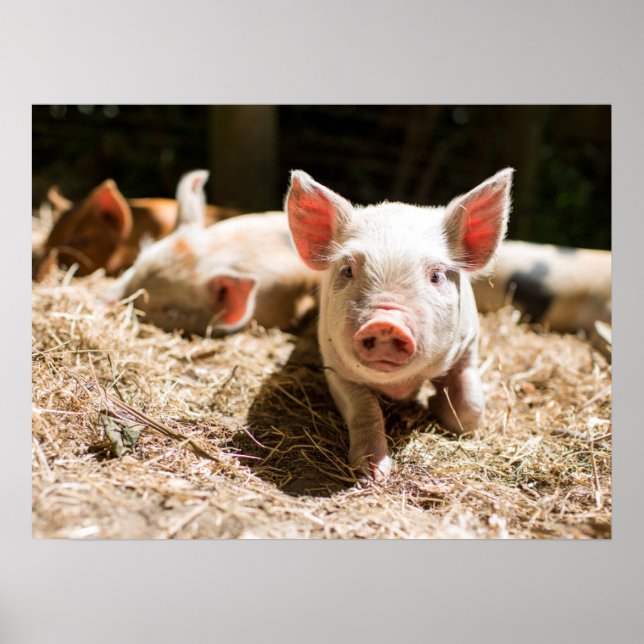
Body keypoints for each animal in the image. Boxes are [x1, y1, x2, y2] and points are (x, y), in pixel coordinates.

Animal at [285, 168, 514, 480]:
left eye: (436, 275)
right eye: (348, 269)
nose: (385, 323)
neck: (400, 386)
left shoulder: (468, 345)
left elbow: (470, 409)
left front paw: (437, 405)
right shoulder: (334, 366)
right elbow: (365, 410)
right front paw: (372, 475)